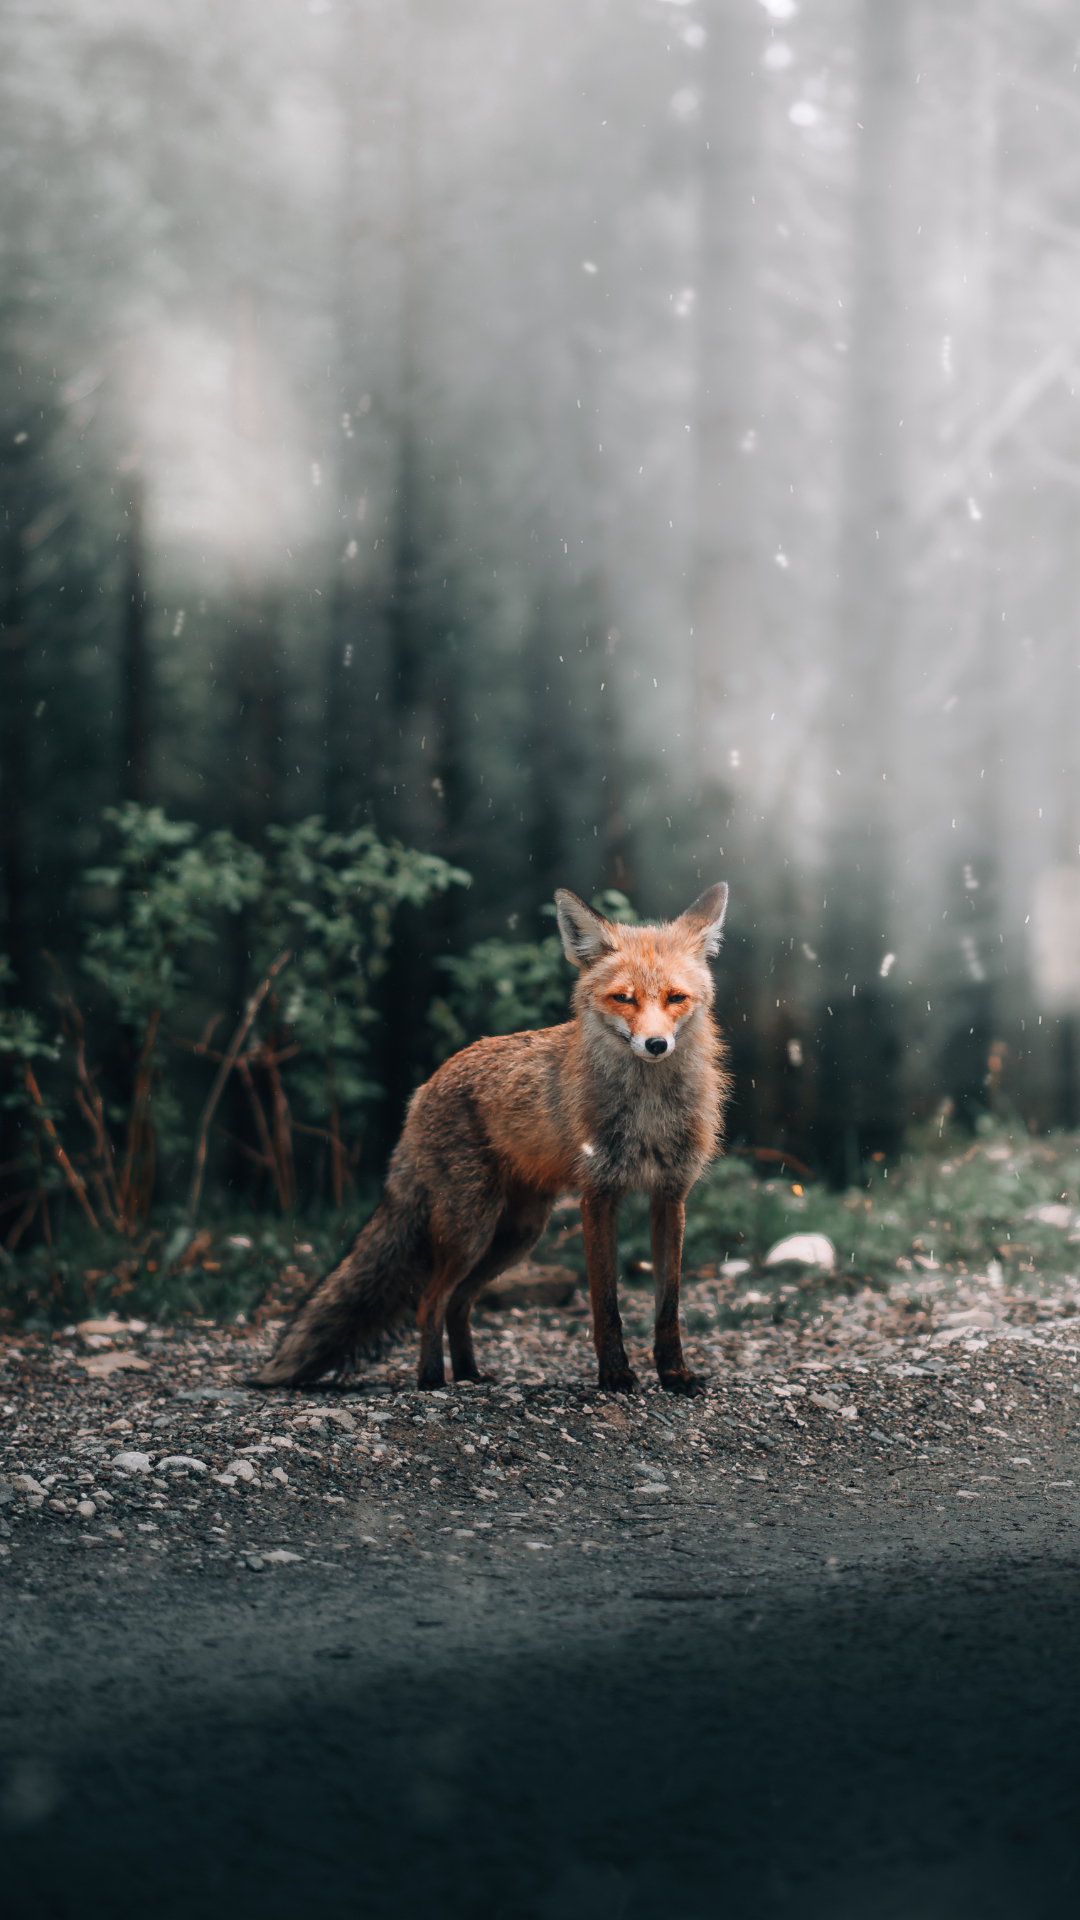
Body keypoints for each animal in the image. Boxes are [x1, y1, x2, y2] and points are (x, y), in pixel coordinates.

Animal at [251, 882, 729, 1398]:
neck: (648, 1112)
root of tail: (424, 1089)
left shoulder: (670, 1196)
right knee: (431, 1301)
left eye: (676, 997)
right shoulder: (598, 1195)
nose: (656, 1045)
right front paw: (616, 1375)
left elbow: (668, 1306)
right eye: (624, 998)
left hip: (515, 1235)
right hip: (471, 1229)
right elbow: (606, 1303)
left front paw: (674, 1374)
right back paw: (432, 1381)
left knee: (459, 1303)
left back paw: (469, 1373)